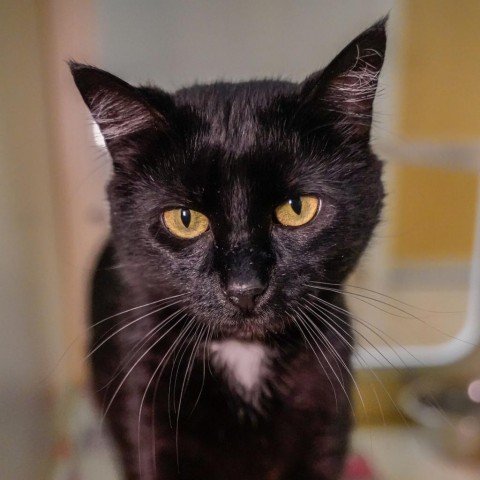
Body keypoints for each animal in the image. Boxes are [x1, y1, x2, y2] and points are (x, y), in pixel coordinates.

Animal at [70, 16, 386, 478]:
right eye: (184, 219)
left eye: (297, 208)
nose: (244, 287)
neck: (243, 355)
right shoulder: (144, 414)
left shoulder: (327, 422)